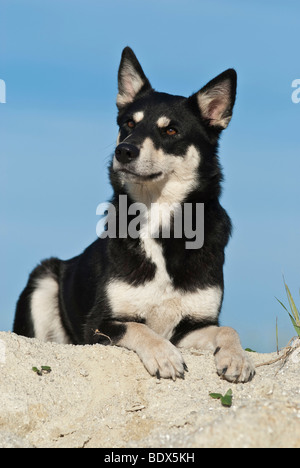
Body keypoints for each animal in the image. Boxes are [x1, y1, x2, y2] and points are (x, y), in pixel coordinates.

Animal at [12, 47, 254, 384]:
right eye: (128, 124)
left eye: (170, 130)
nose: (124, 151)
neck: (160, 221)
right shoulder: (98, 325)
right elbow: (138, 327)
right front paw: (164, 355)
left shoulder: (193, 326)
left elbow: (227, 329)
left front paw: (236, 357)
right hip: (43, 279)